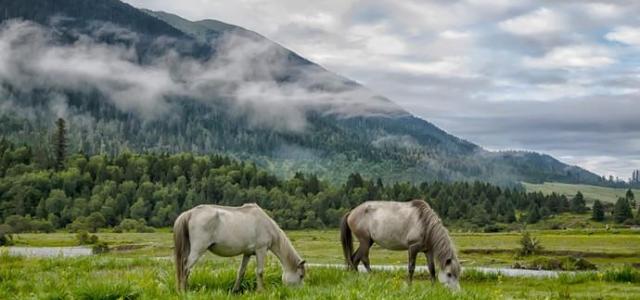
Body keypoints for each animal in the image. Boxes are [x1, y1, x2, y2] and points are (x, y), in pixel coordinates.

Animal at [174, 203, 306, 292]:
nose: (299, 292)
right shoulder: (261, 250)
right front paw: (261, 291)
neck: (266, 224)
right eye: (301, 276)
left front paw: (235, 290)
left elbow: (241, 272)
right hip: (197, 250)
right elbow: (260, 271)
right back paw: (184, 291)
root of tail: (190, 213)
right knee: (186, 268)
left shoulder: (247, 253)